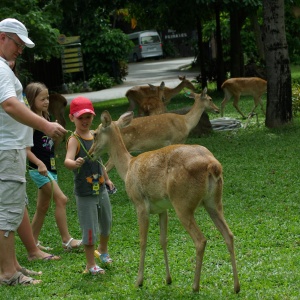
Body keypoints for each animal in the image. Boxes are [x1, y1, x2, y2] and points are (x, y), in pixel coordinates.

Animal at [88, 109, 240, 292]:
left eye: (95, 134)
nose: (90, 154)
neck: (128, 168)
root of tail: (213, 166)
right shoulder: (162, 208)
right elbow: (163, 240)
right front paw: (168, 279)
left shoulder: (140, 204)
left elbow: (143, 241)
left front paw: (139, 281)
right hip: (214, 202)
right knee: (229, 235)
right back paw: (236, 286)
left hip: (182, 203)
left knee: (200, 240)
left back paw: (195, 286)